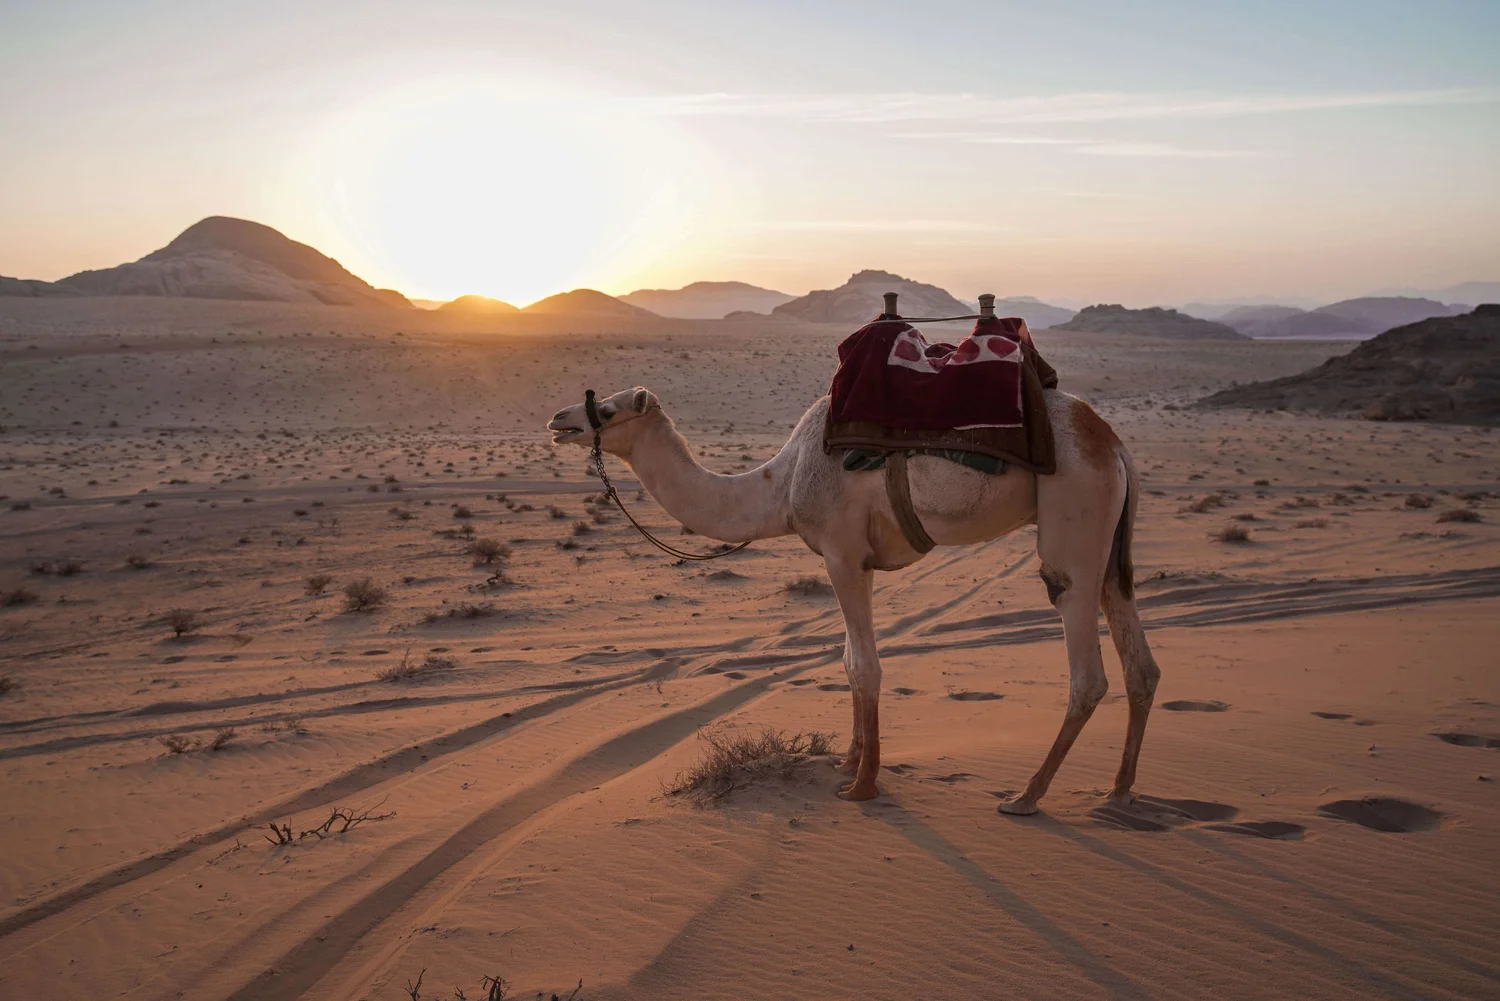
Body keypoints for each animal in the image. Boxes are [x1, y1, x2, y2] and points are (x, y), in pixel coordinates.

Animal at [547, 383, 1160, 813]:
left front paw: (863, 787)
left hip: (1074, 519)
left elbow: (865, 665)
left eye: (608, 410)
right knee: (1140, 664)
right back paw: (1119, 791)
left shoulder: (841, 553)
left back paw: (1026, 796)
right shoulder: (858, 560)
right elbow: (847, 662)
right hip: (1110, 547)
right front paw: (846, 762)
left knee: (1086, 667)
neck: (782, 483)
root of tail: (1113, 445)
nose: (558, 419)